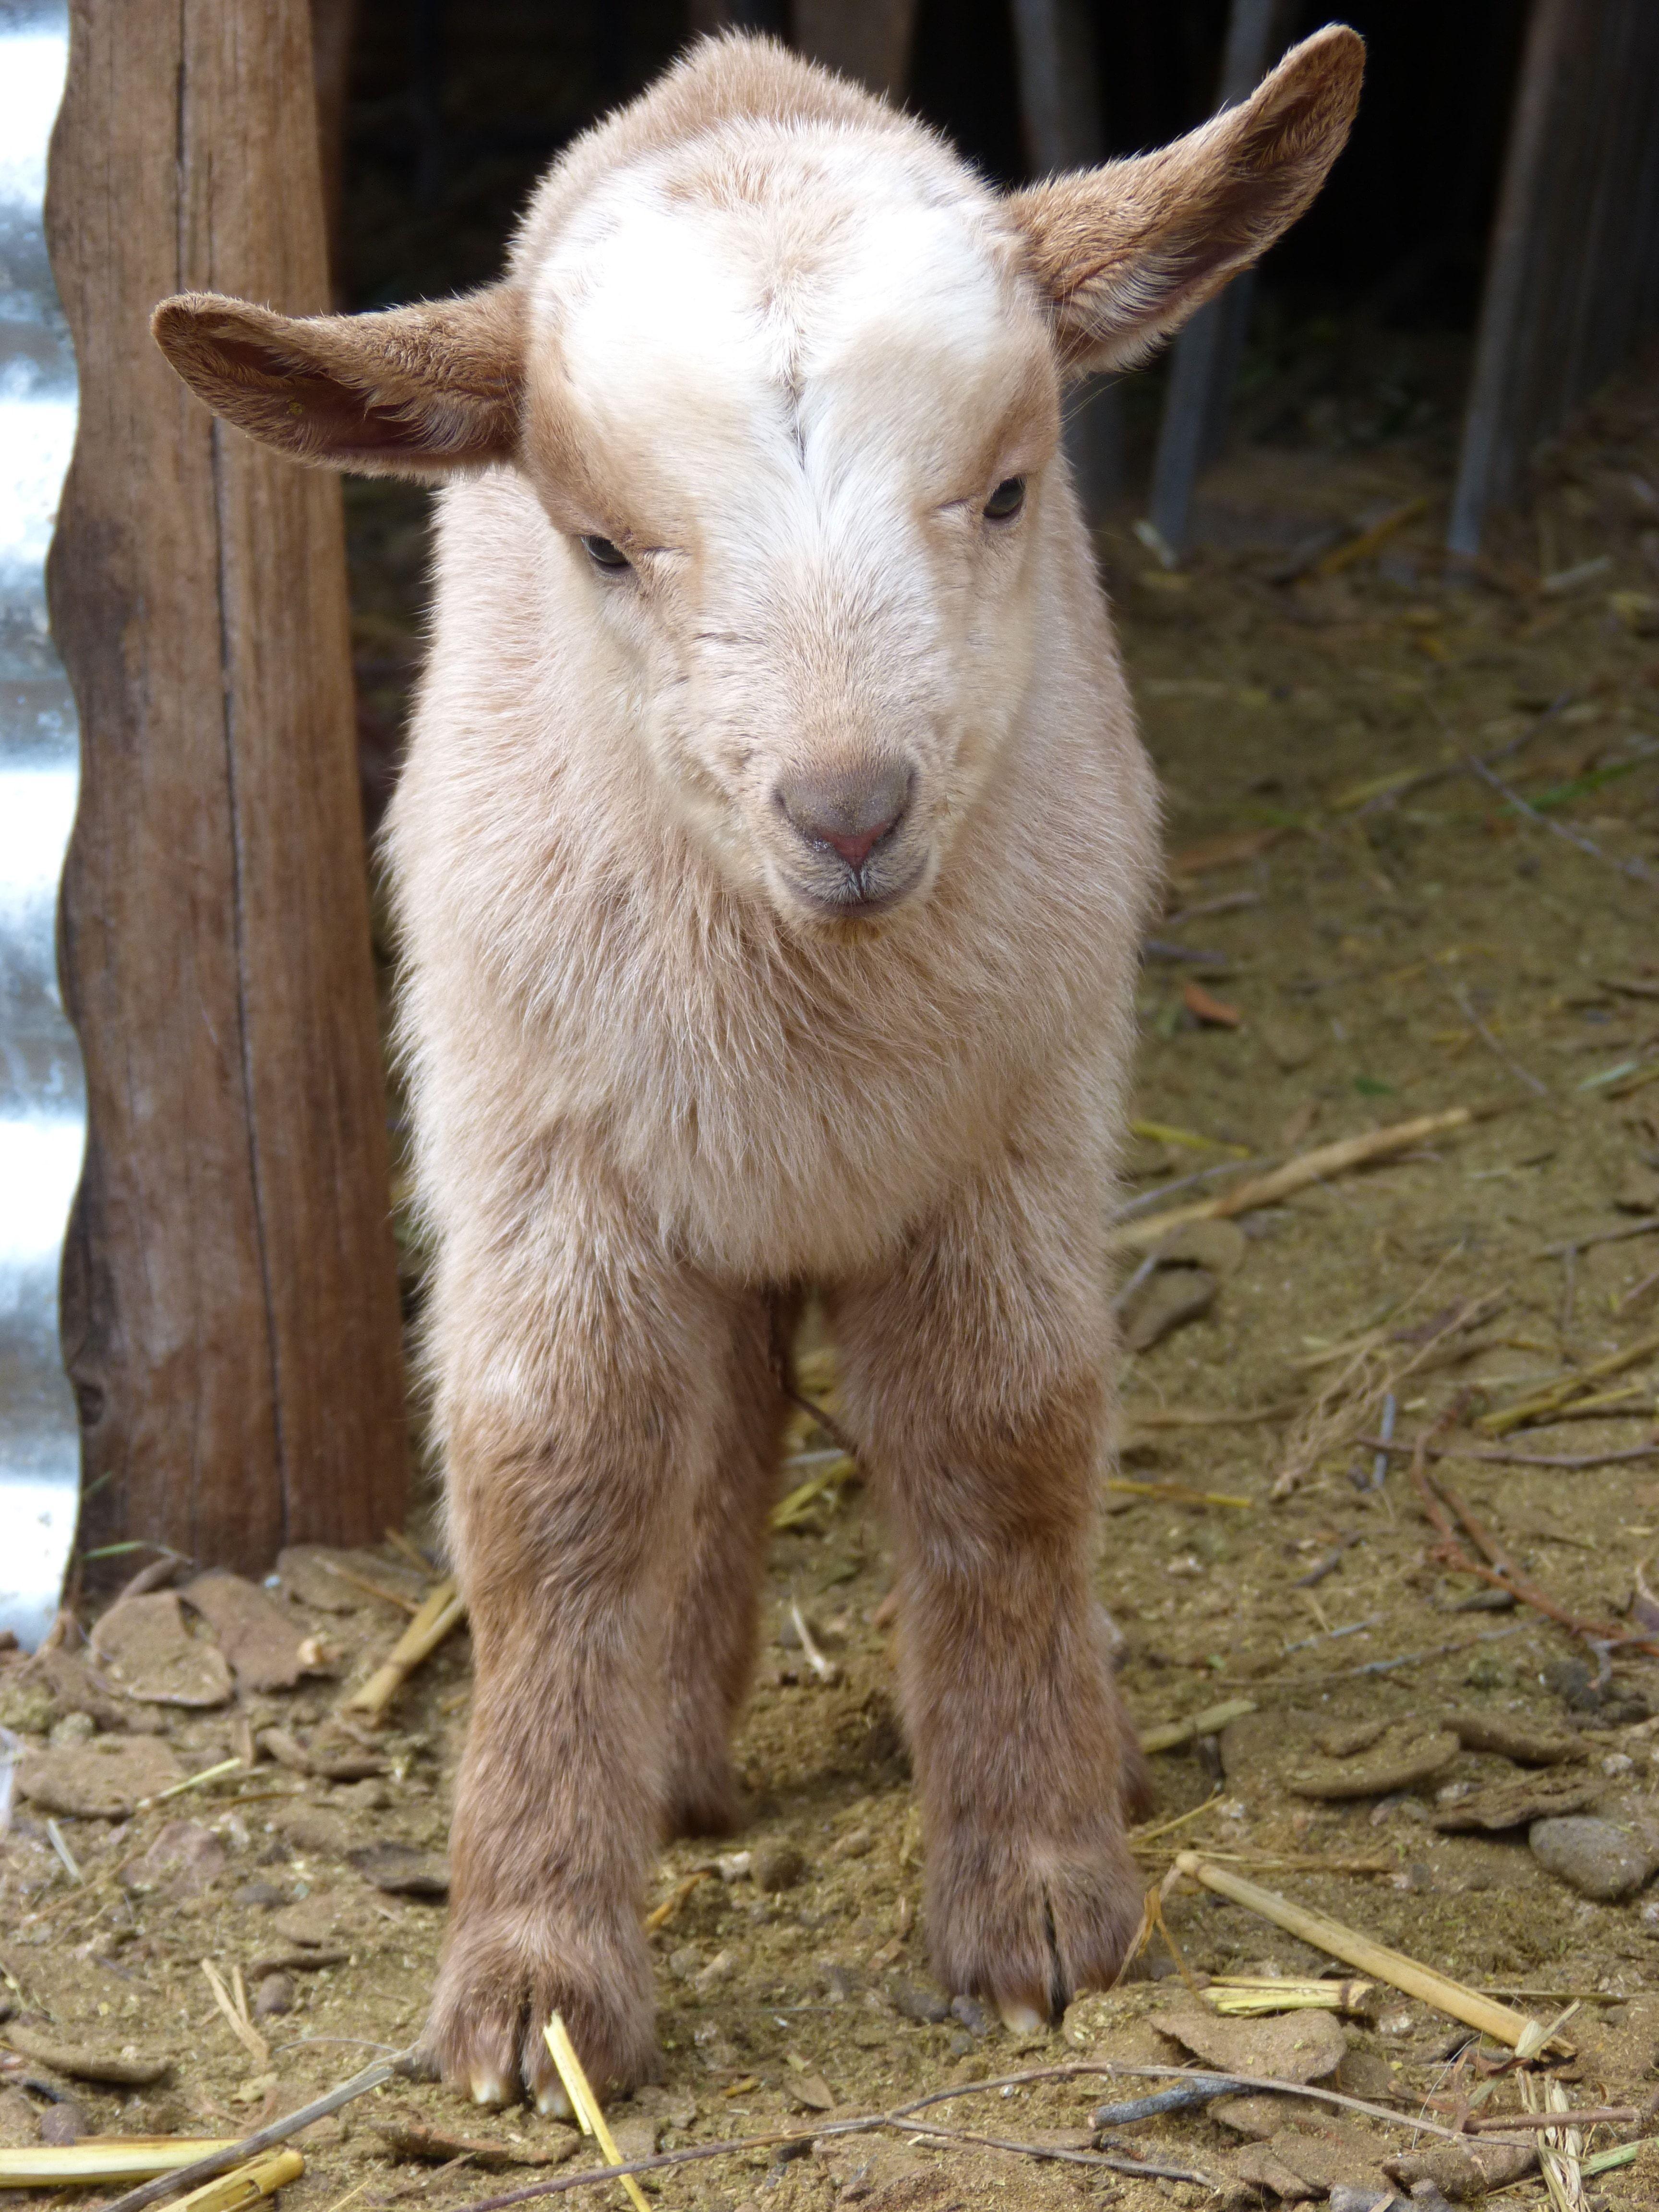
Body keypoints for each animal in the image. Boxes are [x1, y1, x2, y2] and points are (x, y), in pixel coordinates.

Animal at [154, 25, 1361, 2109]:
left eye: (1013, 486)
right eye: (600, 542)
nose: (850, 809)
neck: (813, 991)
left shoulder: (1016, 1131)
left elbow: (1006, 1442)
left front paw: (1039, 1898)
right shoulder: (532, 1148)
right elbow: (554, 1480)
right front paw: (533, 1978)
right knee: (710, 1416)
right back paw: (674, 1752)